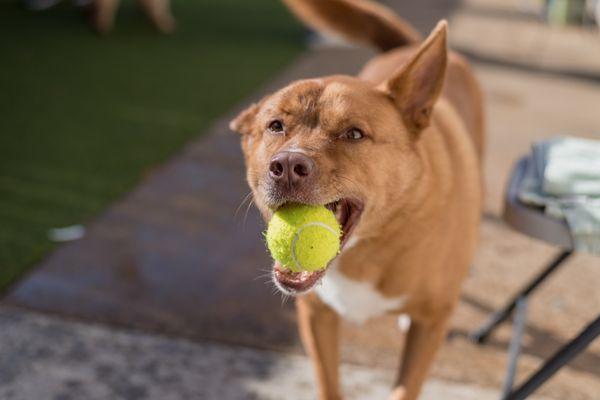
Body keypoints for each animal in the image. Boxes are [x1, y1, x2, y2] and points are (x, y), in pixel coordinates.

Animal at [227, 1, 486, 398]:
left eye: (353, 134)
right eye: (275, 126)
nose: (286, 166)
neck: (370, 245)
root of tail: (409, 47)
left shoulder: (432, 323)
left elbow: (405, 388)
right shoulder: (316, 315)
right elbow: (328, 383)